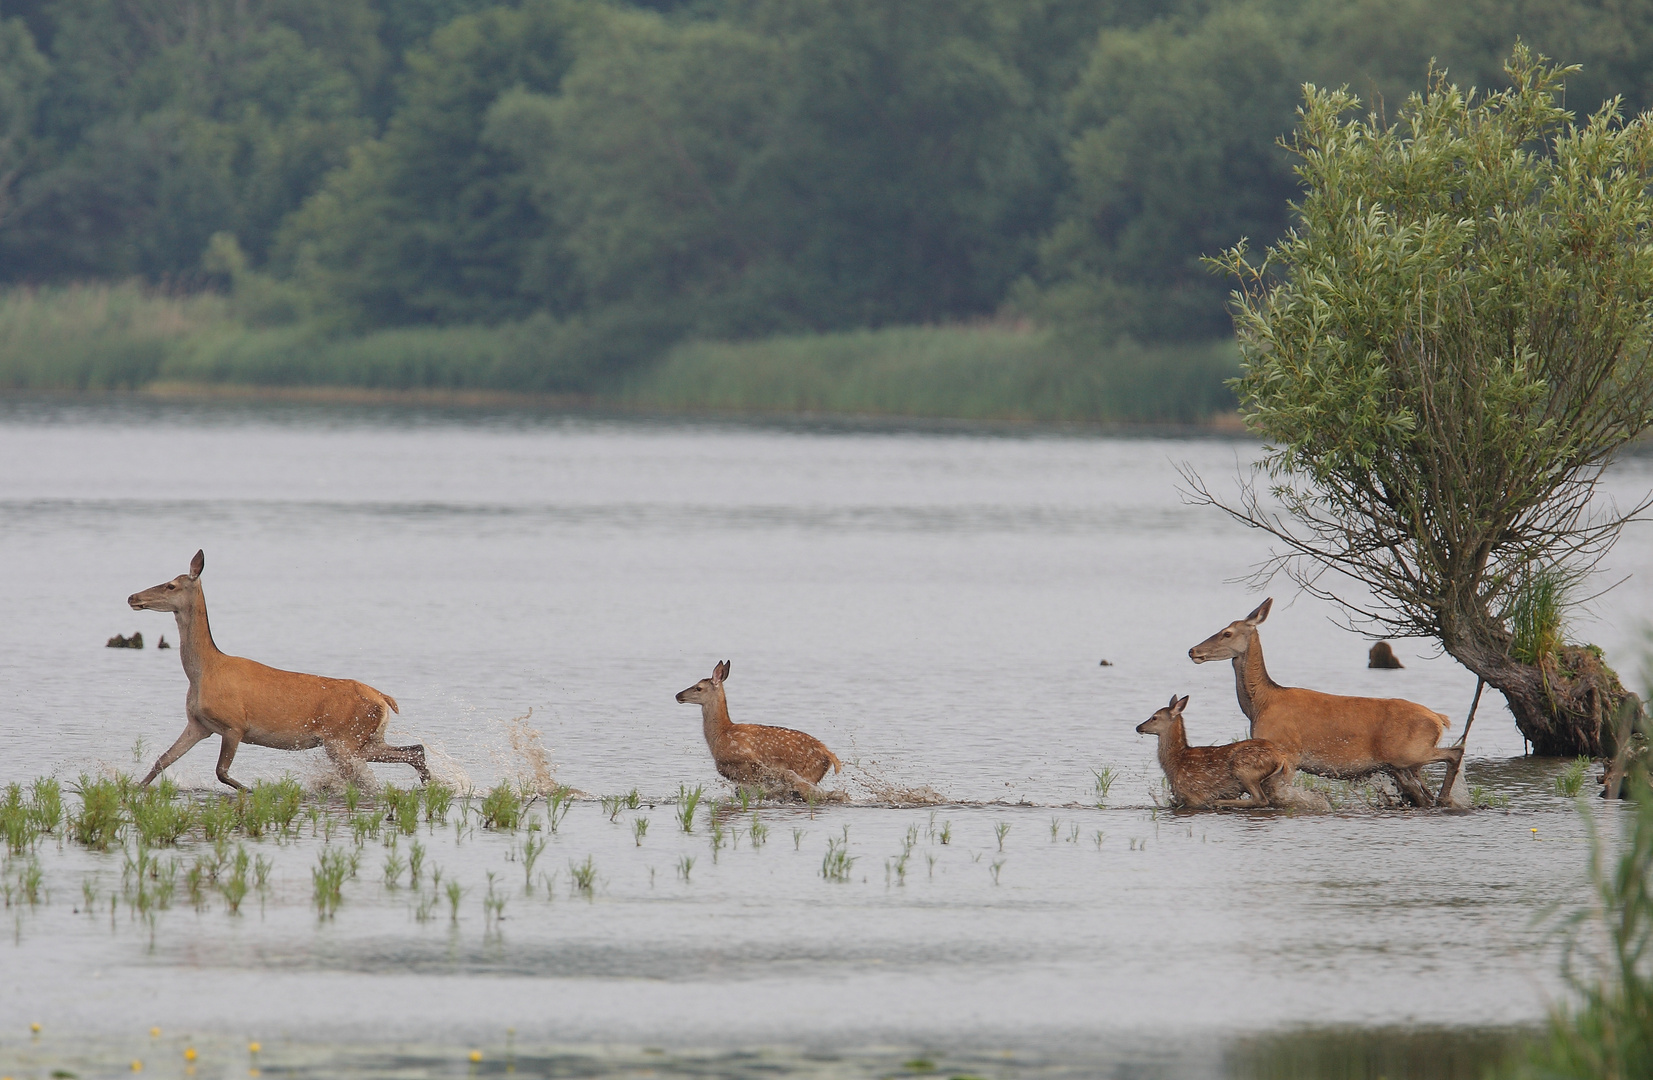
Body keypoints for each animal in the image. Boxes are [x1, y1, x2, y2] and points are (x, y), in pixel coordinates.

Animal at [128, 552, 429, 787]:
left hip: (343, 740)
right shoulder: (198, 724)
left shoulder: (234, 724)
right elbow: (161, 761)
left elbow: (222, 772)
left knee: (370, 781)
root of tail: (384, 699)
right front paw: (132, 791)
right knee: (414, 751)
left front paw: (253, 790)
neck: (203, 671)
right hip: (364, 740)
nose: (132, 597)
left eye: (171, 585)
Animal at [677, 658, 846, 800]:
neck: (721, 733)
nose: (678, 695)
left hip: (809, 771)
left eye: (698, 688)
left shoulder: (748, 761)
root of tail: (828, 753)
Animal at [1143, 694, 1295, 803]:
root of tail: (1281, 758)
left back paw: (1218, 802)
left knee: (1260, 799)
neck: (1176, 761)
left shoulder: (1193, 794)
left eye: (1154, 717)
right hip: (1273, 781)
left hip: (1245, 768)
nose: (1139, 727)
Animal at [1190, 598, 1461, 807]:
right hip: (1402, 764)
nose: (1193, 650)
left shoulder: (1288, 753)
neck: (1260, 705)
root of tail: (1439, 719)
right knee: (1423, 794)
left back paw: (1446, 797)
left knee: (1455, 752)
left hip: (1408, 753)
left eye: (1227, 633)